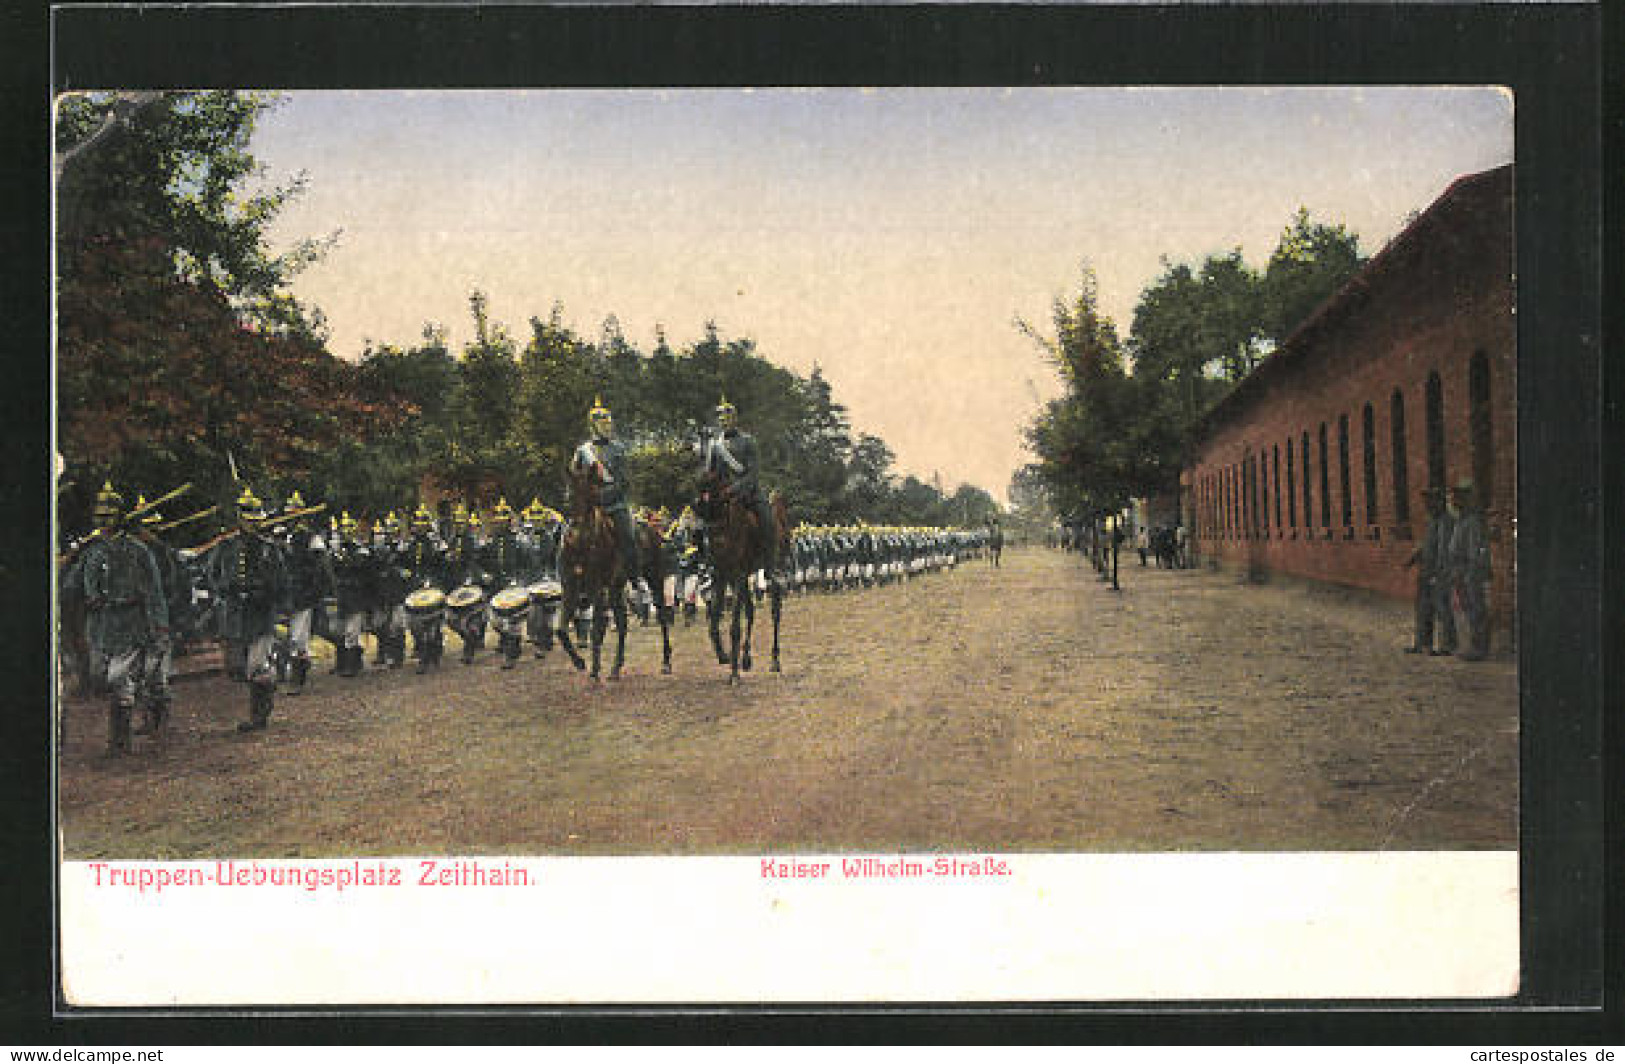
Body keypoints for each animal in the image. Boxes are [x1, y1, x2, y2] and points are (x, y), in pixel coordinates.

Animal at [562, 467, 630, 682]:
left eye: (591, 496)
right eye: (568, 496)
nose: (574, 535)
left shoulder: (597, 590)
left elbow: (595, 631)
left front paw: (594, 668)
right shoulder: (570, 590)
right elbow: (560, 629)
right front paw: (579, 662)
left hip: (615, 590)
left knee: (621, 624)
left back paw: (614, 669)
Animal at [698, 480, 786, 685]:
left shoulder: (737, 576)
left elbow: (735, 626)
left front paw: (734, 674)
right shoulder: (722, 576)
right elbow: (713, 622)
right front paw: (724, 656)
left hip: (770, 575)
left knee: (775, 613)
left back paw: (774, 661)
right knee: (751, 612)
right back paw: (746, 658)